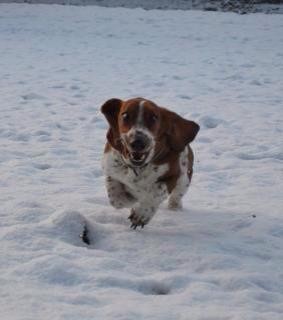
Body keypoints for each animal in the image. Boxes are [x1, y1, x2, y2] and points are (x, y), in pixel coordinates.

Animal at [102, 97, 200, 228]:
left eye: (154, 117)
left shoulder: (173, 176)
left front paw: (141, 214)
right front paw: (132, 200)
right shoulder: (111, 171)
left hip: (184, 179)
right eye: (125, 115)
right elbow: (116, 198)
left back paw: (175, 207)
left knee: (176, 196)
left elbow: (157, 191)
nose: (138, 142)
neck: (139, 168)